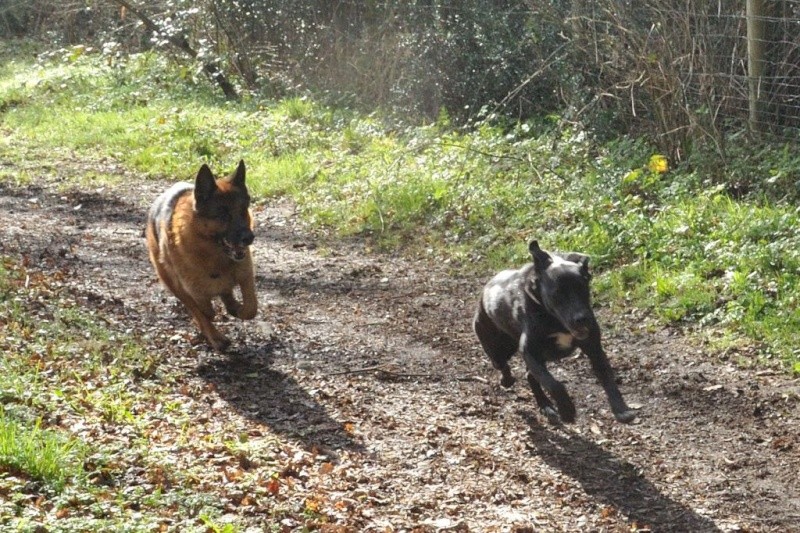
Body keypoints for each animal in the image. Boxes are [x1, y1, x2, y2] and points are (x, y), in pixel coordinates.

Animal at [145, 159, 256, 350]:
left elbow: (250, 309)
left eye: (243, 210)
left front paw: (238, 309)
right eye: (223, 214)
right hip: (172, 283)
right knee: (199, 311)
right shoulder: (193, 292)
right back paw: (217, 337)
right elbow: (204, 313)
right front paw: (213, 333)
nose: (249, 237)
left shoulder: (246, 275)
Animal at [476, 241, 636, 424]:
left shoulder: (594, 348)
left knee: (530, 376)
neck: (554, 321)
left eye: (584, 288)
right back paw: (507, 380)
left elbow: (607, 377)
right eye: (558, 293)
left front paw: (621, 409)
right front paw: (567, 410)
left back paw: (545, 405)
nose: (582, 318)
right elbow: (554, 384)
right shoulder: (530, 351)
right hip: (498, 349)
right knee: (503, 365)